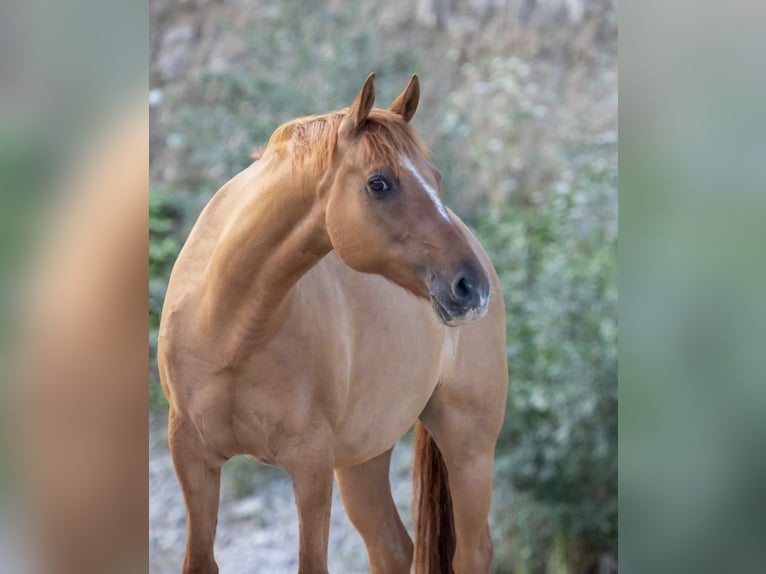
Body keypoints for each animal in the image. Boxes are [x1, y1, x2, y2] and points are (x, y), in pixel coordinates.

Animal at [158, 73, 508, 574]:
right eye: (379, 183)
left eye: (435, 178)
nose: (471, 287)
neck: (229, 328)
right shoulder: (190, 454)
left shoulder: (311, 464)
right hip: (365, 455)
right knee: (391, 547)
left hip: (468, 444)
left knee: (471, 553)